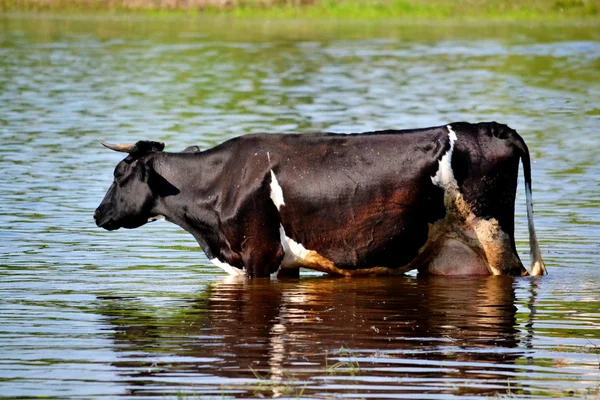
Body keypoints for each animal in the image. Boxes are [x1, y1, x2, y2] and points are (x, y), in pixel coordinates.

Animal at [95, 122, 548, 278]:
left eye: (118, 174)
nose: (98, 214)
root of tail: (491, 127)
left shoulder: (258, 255)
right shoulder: (283, 263)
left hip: (494, 237)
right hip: (452, 258)